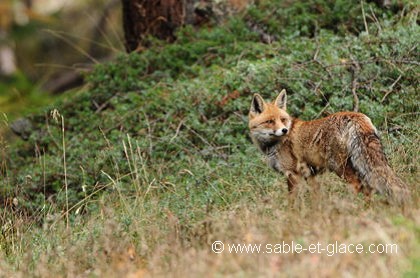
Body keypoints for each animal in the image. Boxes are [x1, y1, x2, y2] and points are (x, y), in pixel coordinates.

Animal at [249, 90, 410, 205]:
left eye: (282, 119)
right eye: (269, 121)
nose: (284, 130)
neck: (274, 145)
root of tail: (356, 116)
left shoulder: (293, 174)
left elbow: (292, 202)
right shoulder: (310, 175)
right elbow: (316, 198)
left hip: (338, 165)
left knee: (357, 184)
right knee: (368, 187)